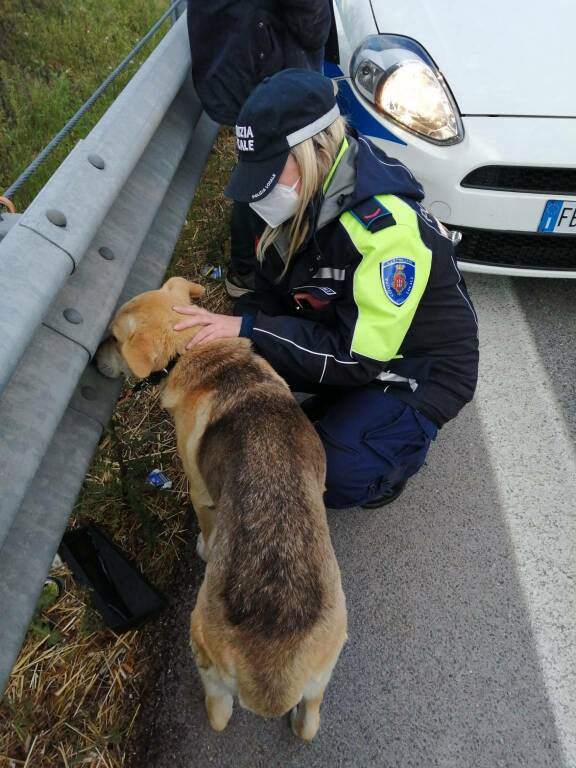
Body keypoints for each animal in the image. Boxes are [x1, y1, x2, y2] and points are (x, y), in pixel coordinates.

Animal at [97, 278, 346, 736]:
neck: (197, 351)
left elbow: (206, 527)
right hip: (326, 668)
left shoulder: (200, 492)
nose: (92, 361)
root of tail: (272, 676)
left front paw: (202, 547)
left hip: (201, 643)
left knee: (218, 713)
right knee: (308, 723)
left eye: (116, 339)